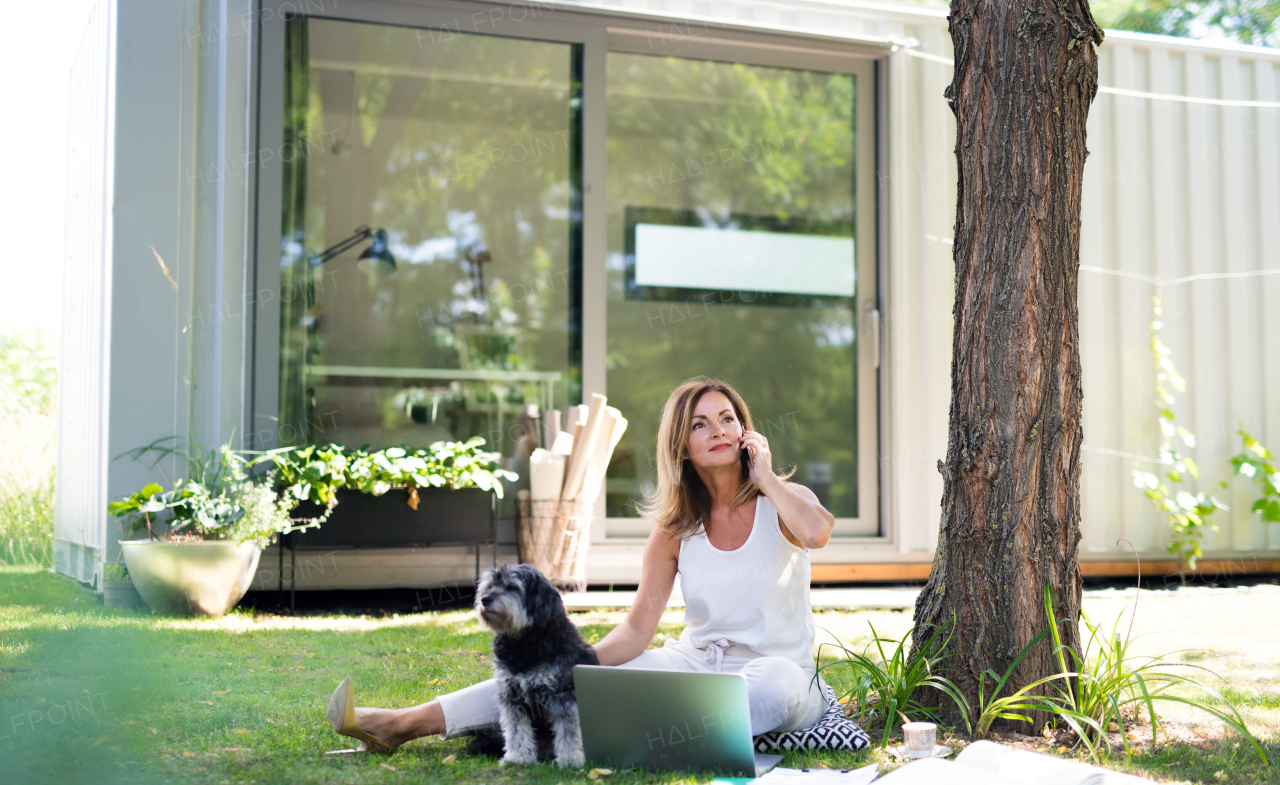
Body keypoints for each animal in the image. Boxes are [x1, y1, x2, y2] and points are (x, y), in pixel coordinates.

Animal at [473, 563, 596, 763]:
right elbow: (516, 731)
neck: (525, 644)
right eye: (490, 586)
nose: (484, 599)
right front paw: (517, 758)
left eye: (512, 587)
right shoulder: (512, 694)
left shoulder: (564, 693)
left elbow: (568, 730)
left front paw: (569, 759)